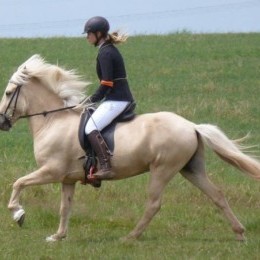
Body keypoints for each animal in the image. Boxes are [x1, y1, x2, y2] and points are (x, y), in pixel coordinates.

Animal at [0, 53, 260, 243]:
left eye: (9, 92)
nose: (2, 122)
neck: (53, 121)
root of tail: (191, 126)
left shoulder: (51, 171)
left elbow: (18, 183)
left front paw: (18, 214)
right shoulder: (67, 178)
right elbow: (65, 207)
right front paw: (58, 236)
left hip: (162, 169)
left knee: (154, 204)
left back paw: (131, 237)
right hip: (191, 169)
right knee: (216, 195)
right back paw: (239, 233)